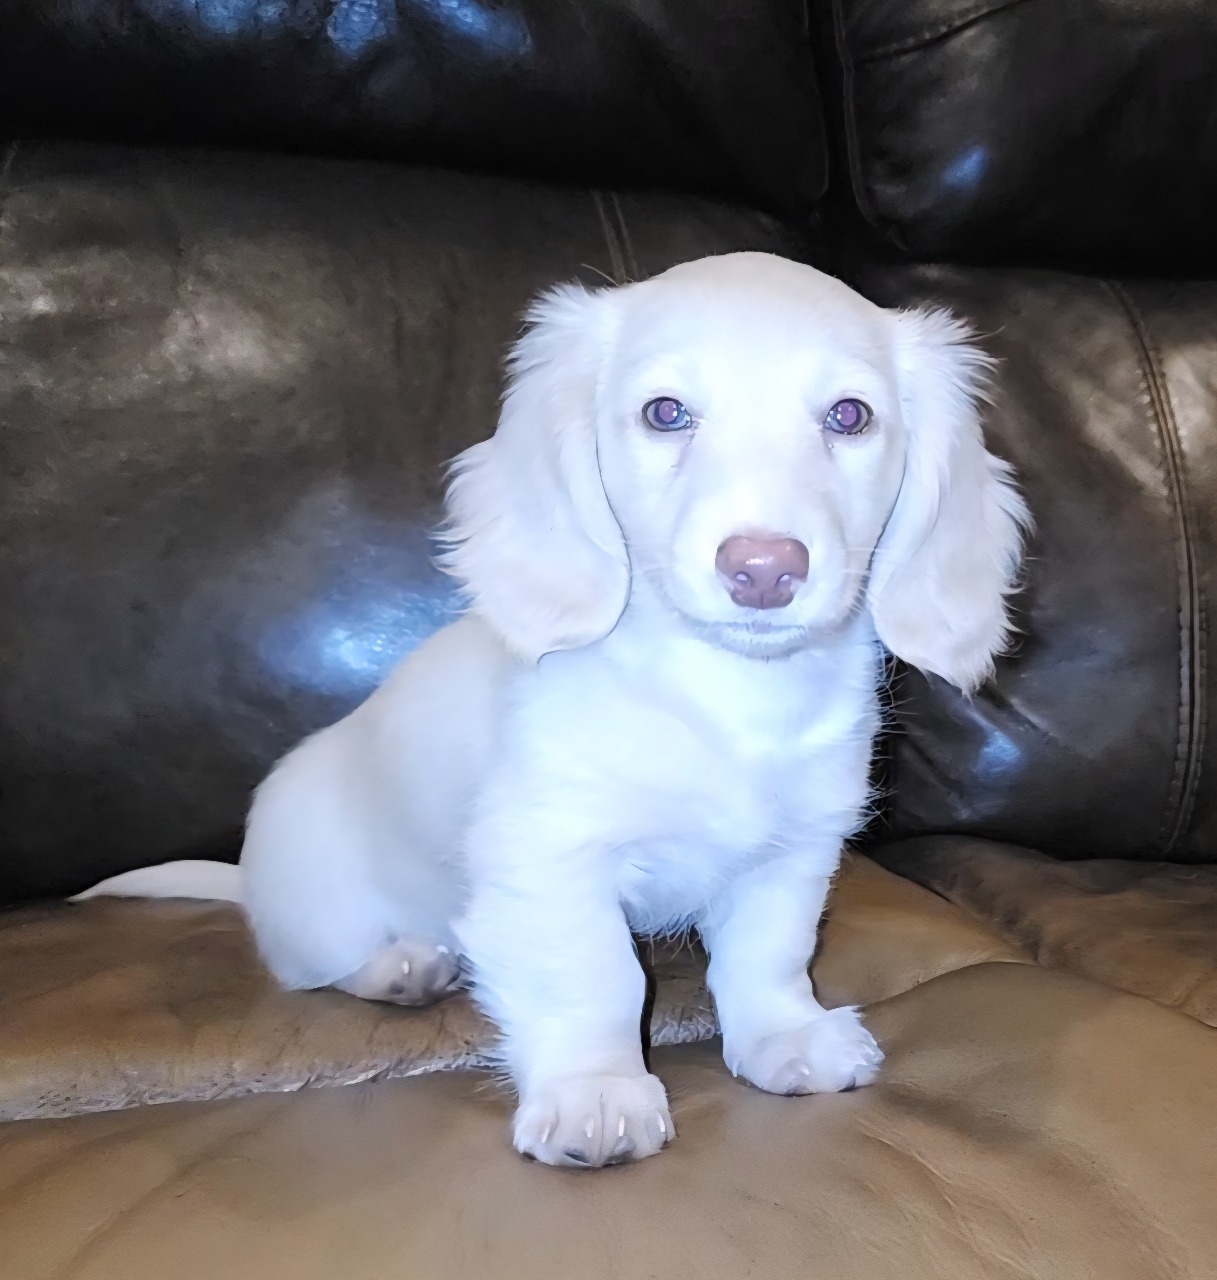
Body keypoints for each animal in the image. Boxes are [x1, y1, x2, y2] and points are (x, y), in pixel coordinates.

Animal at [78, 252, 1029, 1167]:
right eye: (664, 413)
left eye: (849, 416)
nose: (763, 569)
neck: (724, 697)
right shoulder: (548, 860)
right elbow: (595, 978)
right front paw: (594, 1093)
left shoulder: (793, 852)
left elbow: (770, 954)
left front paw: (781, 1038)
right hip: (319, 908)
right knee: (312, 966)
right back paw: (395, 967)